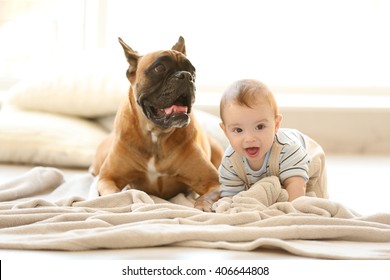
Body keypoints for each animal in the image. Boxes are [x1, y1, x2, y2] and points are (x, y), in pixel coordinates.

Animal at [92, 37, 224, 212]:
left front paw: (203, 206)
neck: (156, 135)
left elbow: (207, 196)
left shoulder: (213, 182)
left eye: (193, 71)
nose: (186, 76)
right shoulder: (108, 178)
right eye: (159, 68)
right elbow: (115, 195)